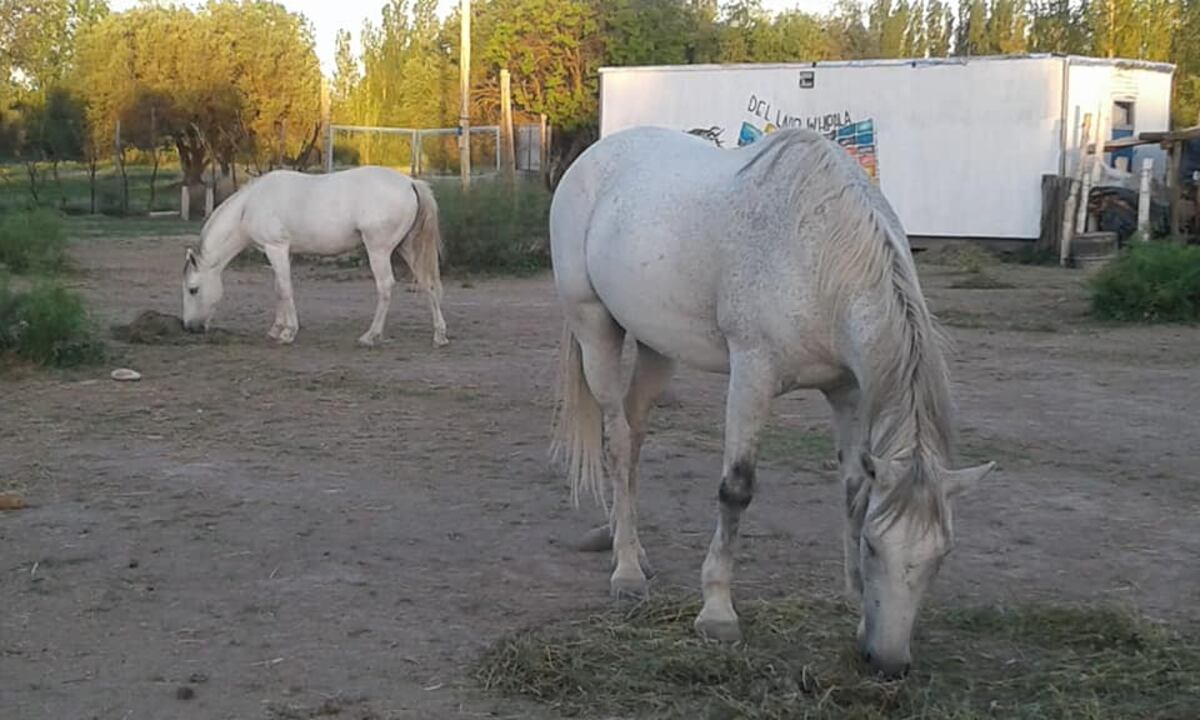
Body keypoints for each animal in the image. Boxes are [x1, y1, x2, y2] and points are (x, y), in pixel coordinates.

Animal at [181, 166, 449, 348]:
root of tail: (410, 182)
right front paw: (276, 329)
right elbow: (279, 288)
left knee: (385, 287)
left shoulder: (276, 248)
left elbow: (285, 289)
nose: (189, 327)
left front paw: (288, 332)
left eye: (193, 289)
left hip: (379, 251)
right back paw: (440, 335)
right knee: (428, 283)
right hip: (407, 248)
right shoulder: (281, 253)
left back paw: (370, 336)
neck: (249, 206)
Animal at [549, 126, 995, 678]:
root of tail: (591, 157)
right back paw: (627, 573)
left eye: (941, 556)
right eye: (874, 546)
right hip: (596, 330)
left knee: (631, 438)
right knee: (615, 439)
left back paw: (624, 546)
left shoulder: (848, 391)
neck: (818, 251)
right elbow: (736, 489)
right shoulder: (752, 375)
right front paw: (717, 612)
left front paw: (853, 602)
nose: (888, 663)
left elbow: (853, 489)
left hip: (657, 347)